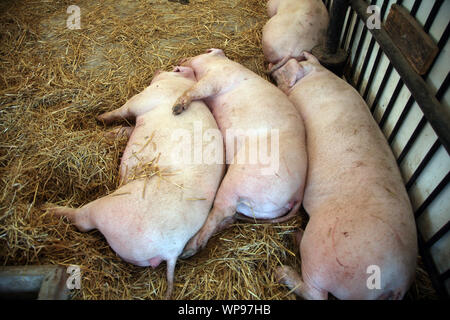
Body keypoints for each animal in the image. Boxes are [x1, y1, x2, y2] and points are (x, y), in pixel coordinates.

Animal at [45, 66, 225, 298]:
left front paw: (100, 117)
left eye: (172, 68)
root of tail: (171, 251)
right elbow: (126, 129)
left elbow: (121, 111)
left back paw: (47, 208)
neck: (182, 84)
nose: (159, 69)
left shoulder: (143, 98)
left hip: (109, 210)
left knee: (81, 220)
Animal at [172, 48, 310, 258]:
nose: (181, 59)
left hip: (240, 180)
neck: (216, 64)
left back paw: (187, 250)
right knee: (228, 217)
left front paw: (176, 109)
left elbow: (197, 89)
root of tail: (298, 192)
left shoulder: (216, 78)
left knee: (222, 211)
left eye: (204, 51)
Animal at [270, 52, 418, 300]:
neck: (317, 75)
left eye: (292, 66)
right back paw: (294, 236)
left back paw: (283, 270)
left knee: (315, 293)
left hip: (324, 251)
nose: (273, 63)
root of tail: (395, 284)